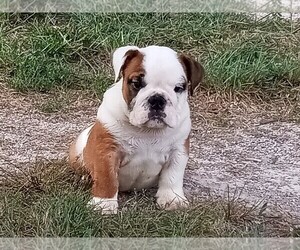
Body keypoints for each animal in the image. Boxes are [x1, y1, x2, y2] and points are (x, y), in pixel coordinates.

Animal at [69, 44, 203, 213]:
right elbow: (107, 178)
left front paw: (172, 199)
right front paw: (104, 204)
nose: (157, 99)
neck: (147, 131)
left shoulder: (178, 150)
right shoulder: (107, 150)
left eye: (178, 88)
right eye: (136, 83)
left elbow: (173, 176)